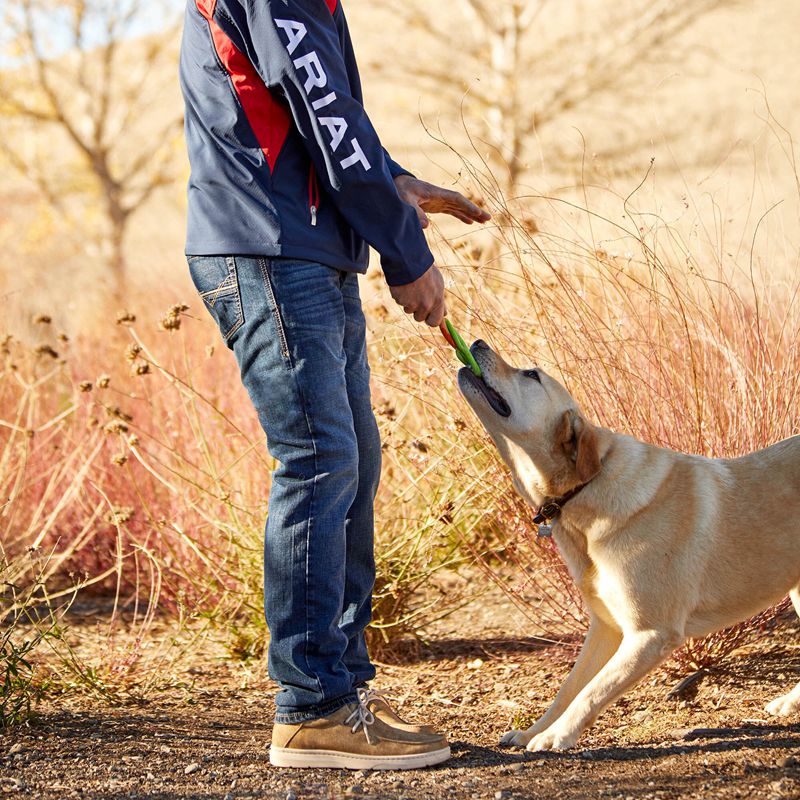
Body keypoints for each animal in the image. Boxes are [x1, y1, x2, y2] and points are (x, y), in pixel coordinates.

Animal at [456, 340, 800, 752]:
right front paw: (535, 729)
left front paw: (555, 736)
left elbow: (592, 691)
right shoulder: (606, 628)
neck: (584, 491)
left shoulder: (651, 634)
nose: (477, 343)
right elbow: (569, 688)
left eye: (532, 375)